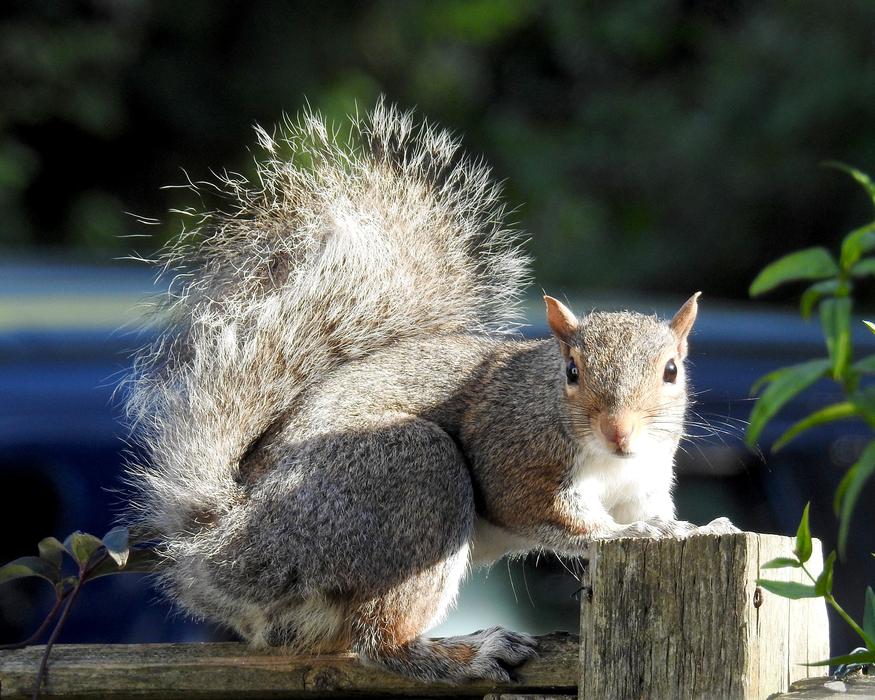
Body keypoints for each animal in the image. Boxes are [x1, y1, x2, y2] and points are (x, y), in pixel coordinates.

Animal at [123, 100, 737, 684]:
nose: (619, 432)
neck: (609, 461)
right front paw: (631, 533)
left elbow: (649, 509)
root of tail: (227, 541)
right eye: (571, 371)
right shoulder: (512, 453)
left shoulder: (643, 480)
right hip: (414, 471)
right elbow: (548, 513)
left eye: (672, 371)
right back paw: (468, 654)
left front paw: (693, 526)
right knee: (380, 639)